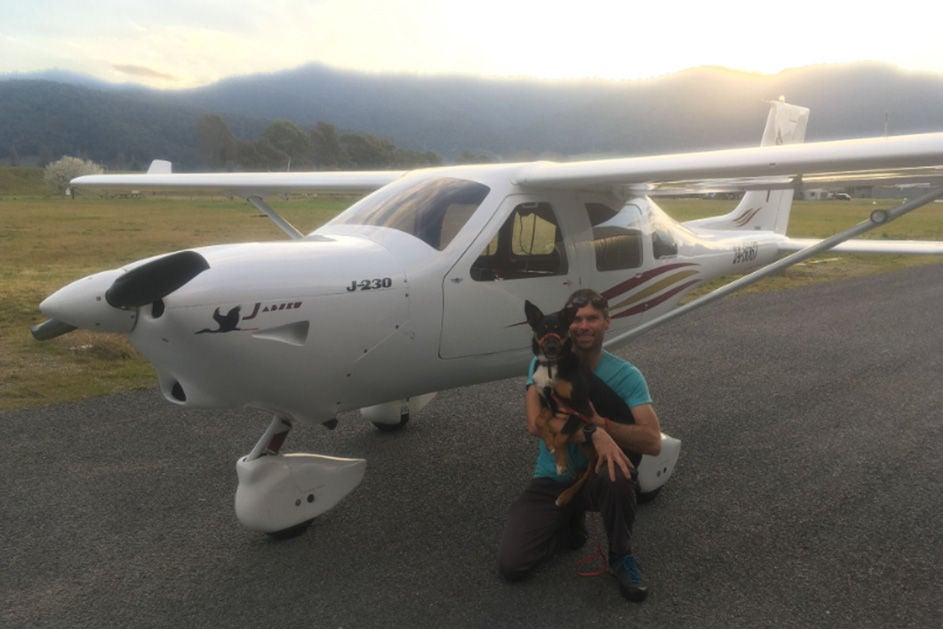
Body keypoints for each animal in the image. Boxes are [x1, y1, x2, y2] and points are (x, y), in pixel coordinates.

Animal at [524, 298, 636, 506]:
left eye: (560, 329)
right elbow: (539, 421)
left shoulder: (581, 408)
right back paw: (576, 473)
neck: (551, 365)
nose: (551, 347)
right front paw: (549, 443)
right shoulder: (551, 404)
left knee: (590, 472)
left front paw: (561, 464)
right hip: (584, 444)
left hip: (600, 450)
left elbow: (561, 435)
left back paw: (566, 495)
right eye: (543, 329)